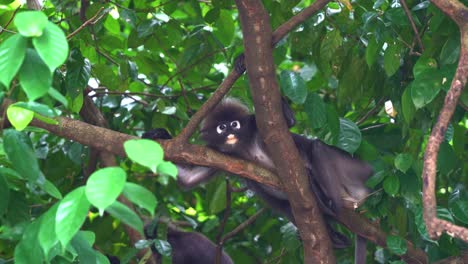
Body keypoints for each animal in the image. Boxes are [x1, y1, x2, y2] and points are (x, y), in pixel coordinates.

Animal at [143, 97, 372, 264]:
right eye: (222, 127)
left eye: (234, 124)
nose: (231, 132)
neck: (243, 146)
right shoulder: (214, 152)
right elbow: (188, 179)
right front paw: (159, 134)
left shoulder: (257, 125)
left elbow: (286, 124)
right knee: (284, 205)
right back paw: (337, 238)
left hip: (354, 171)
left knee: (317, 148)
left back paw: (325, 196)